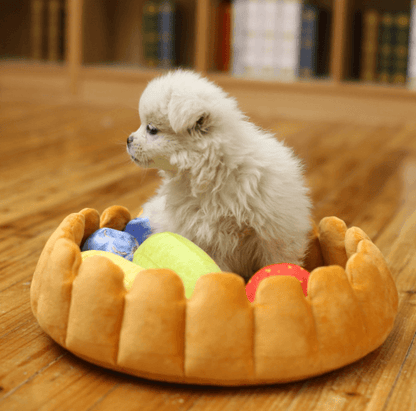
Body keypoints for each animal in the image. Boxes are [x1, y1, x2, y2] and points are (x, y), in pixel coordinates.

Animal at [127, 71, 312, 284]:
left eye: (151, 129)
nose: (128, 139)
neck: (214, 174)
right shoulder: (206, 237)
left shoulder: (274, 231)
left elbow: (276, 259)